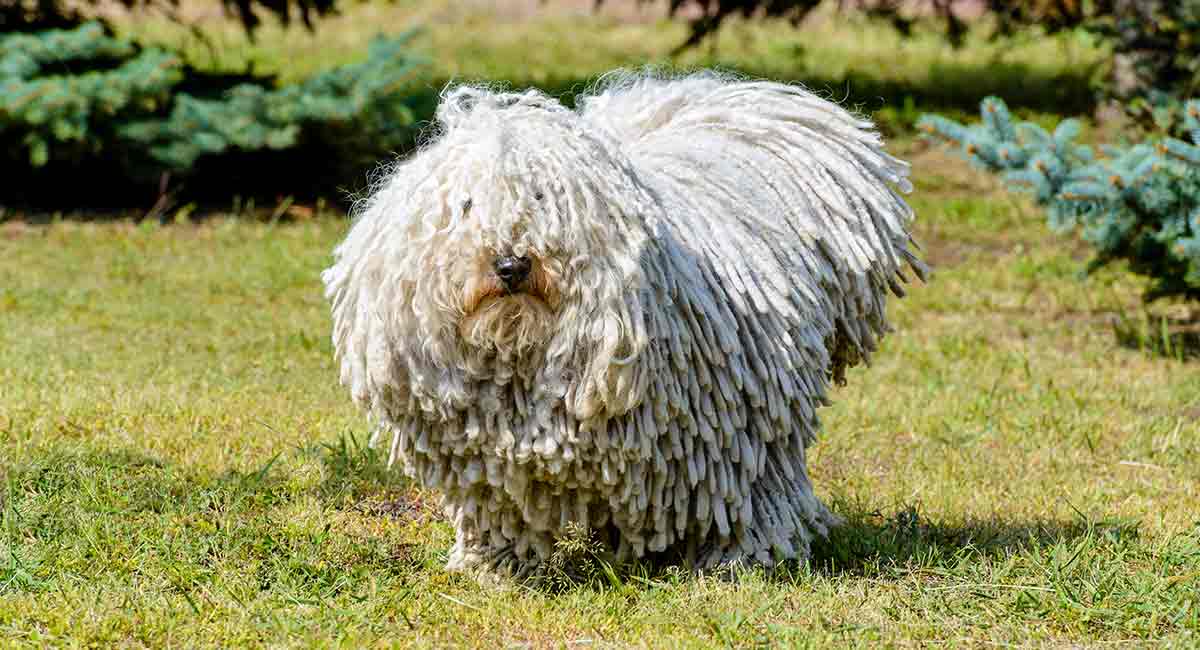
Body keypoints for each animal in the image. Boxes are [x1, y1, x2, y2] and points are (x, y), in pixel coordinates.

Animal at [324, 72, 921, 575]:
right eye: (466, 206)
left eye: (543, 197)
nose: (512, 265)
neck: (524, 351)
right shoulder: (486, 457)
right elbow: (498, 508)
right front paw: (494, 566)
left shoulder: (736, 425)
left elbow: (744, 489)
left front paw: (739, 560)